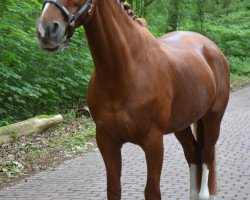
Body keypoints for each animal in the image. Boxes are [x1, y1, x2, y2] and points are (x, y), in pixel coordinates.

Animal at [35, 0, 230, 199]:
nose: (45, 30)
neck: (126, 71)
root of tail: (211, 47)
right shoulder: (107, 140)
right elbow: (113, 188)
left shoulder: (153, 142)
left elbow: (152, 191)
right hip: (181, 125)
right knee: (193, 154)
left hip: (213, 119)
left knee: (206, 155)